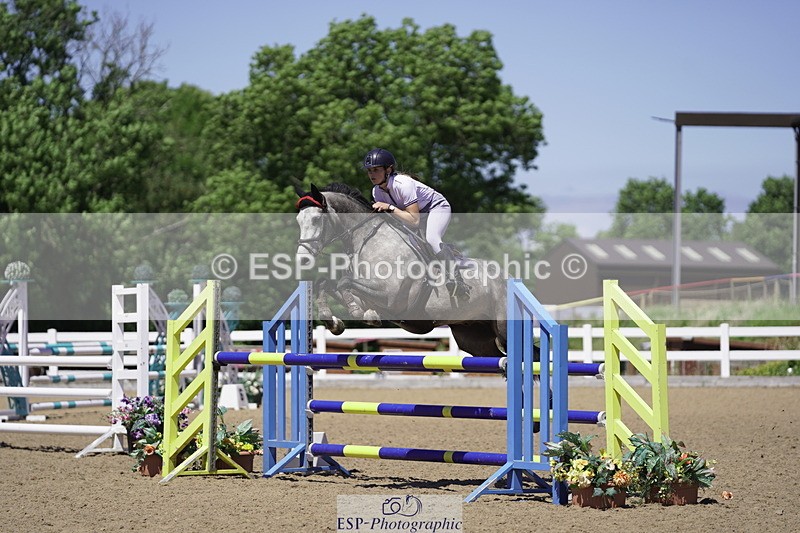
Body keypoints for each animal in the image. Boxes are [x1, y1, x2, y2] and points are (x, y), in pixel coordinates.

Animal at [295, 183, 508, 358]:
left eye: (316, 220)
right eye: (298, 220)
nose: (302, 258)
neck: (369, 240)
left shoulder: (392, 298)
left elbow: (344, 282)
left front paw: (359, 315)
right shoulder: (365, 297)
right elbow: (326, 283)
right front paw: (334, 322)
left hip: (502, 326)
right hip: (472, 336)